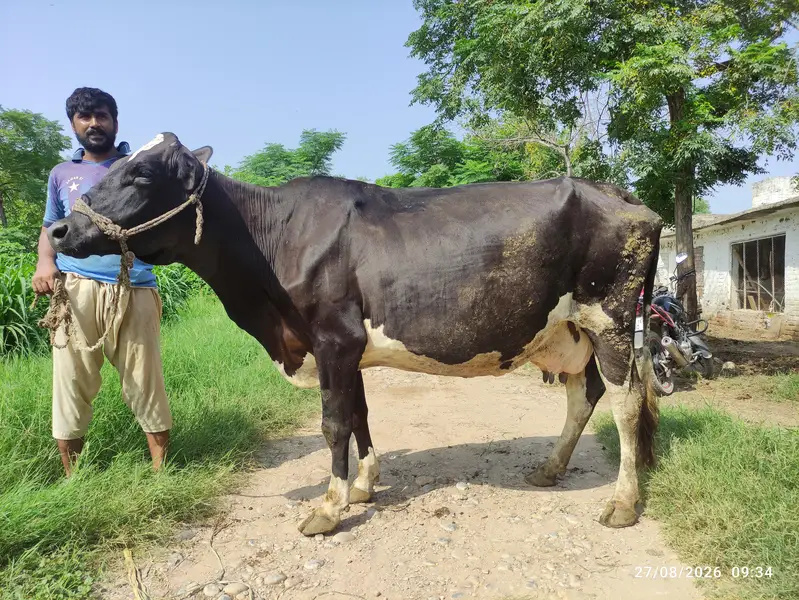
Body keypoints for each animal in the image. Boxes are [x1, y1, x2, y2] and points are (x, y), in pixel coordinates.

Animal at [46, 133, 662, 537]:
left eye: (141, 175)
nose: (59, 228)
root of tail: (617, 192)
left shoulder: (333, 338)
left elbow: (334, 422)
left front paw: (327, 507)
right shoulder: (348, 348)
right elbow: (362, 414)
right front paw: (364, 484)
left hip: (610, 315)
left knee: (627, 401)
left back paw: (623, 503)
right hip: (570, 328)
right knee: (585, 394)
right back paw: (551, 468)